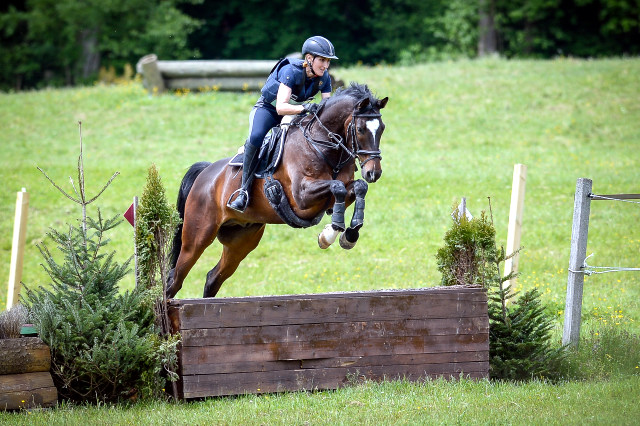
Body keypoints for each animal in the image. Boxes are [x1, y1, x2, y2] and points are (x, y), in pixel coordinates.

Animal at [165, 81, 388, 298]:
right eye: (360, 129)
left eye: (382, 129)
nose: (373, 172)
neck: (321, 144)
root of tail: (205, 173)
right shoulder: (302, 197)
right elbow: (337, 186)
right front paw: (329, 235)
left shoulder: (332, 197)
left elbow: (357, 187)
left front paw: (348, 234)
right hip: (197, 236)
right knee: (174, 280)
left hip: (241, 239)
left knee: (213, 278)